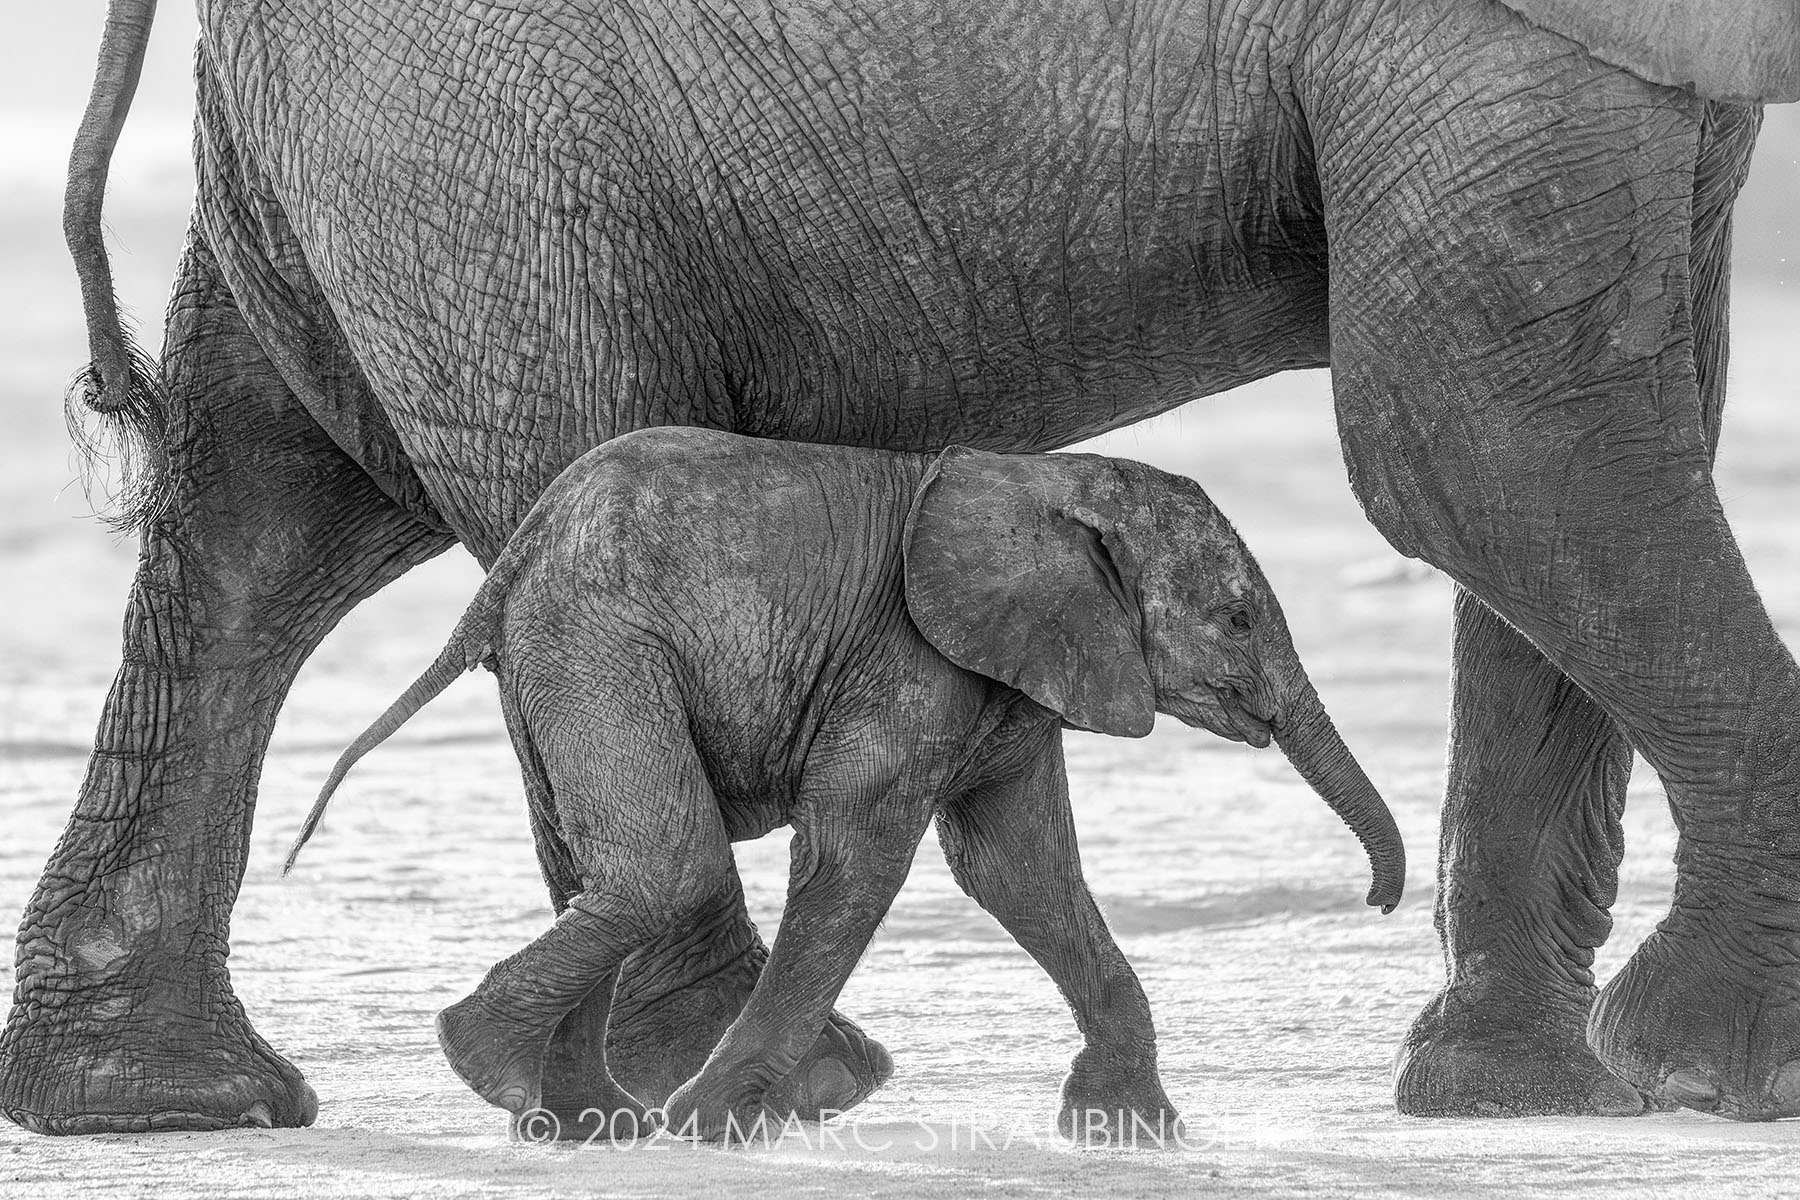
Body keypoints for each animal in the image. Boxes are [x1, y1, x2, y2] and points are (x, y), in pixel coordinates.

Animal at [283, 427, 1405, 1143]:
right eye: (1238, 618)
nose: (1379, 902)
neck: (1049, 479)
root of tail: (511, 562)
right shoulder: (912, 658)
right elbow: (858, 855)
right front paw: (714, 1129)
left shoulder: (1008, 675)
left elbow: (1020, 874)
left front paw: (1130, 1135)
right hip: (597, 642)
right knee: (666, 862)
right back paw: (510, 1076)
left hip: (554, 660)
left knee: (594, 866)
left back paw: (584, 1126)